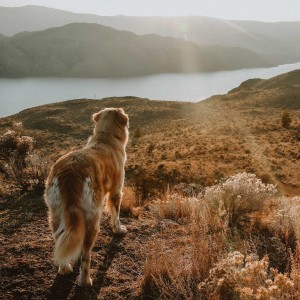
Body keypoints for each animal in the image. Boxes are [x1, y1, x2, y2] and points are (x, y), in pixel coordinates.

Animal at [44, 108, 128, 286]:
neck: (105, 137)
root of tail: (70, 173)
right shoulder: (116, 191)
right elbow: (116, 215)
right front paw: (118, 230)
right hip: (92, 217)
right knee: (85, 253)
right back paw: (85, 280)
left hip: (55, 214)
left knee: (60, 239)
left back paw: (64, 268)